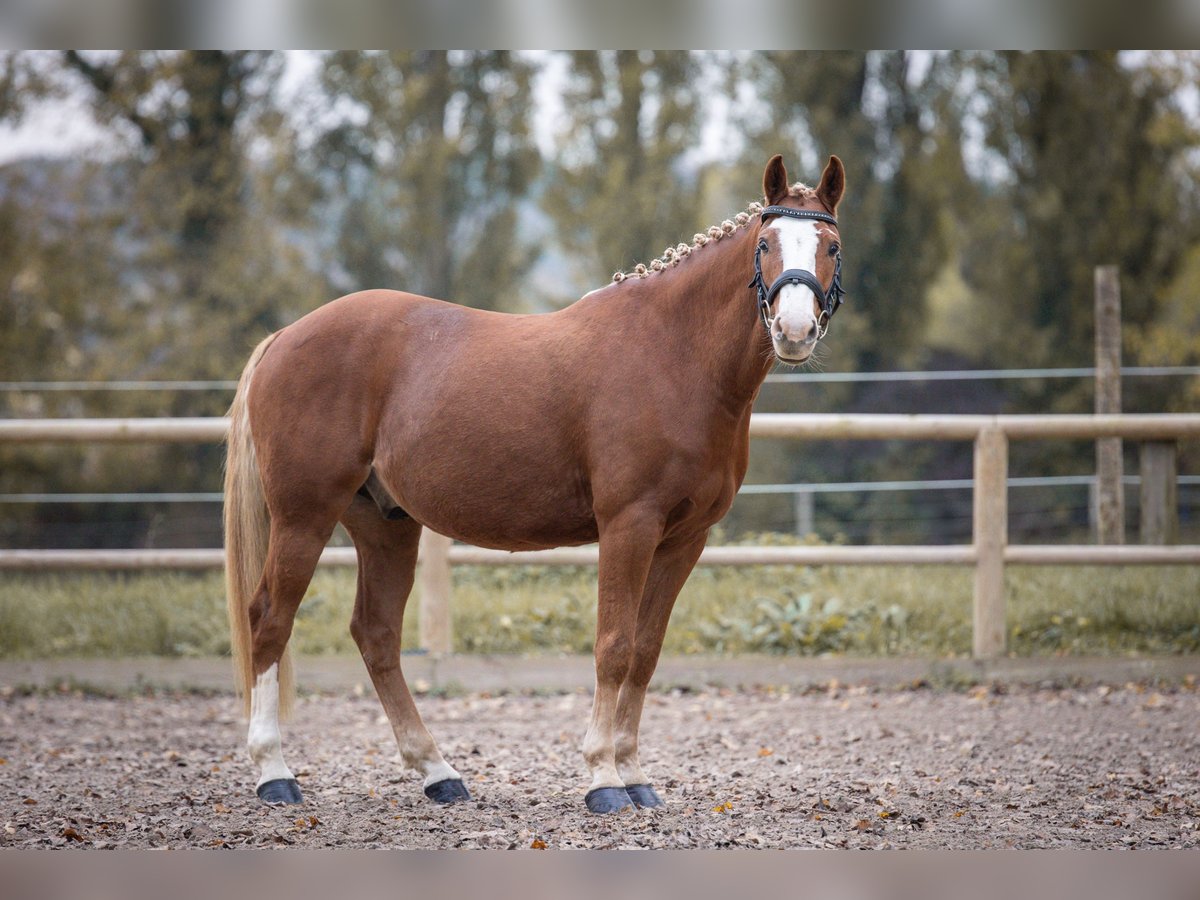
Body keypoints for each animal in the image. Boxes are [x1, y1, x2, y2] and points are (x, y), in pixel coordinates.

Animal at [224, 153, 846, 814]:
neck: (673, 355)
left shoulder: (685, 539)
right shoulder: (629, 525)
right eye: (765, 244)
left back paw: (438, 773)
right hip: (304, 516)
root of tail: (283, 339)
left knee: (377, 634)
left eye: (831, 245)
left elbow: (646, 653)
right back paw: (274, 773)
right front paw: (603, 778)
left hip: (384, 524)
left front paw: (635, 775)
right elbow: (613, 646)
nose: (795, 330)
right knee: (269, 619)